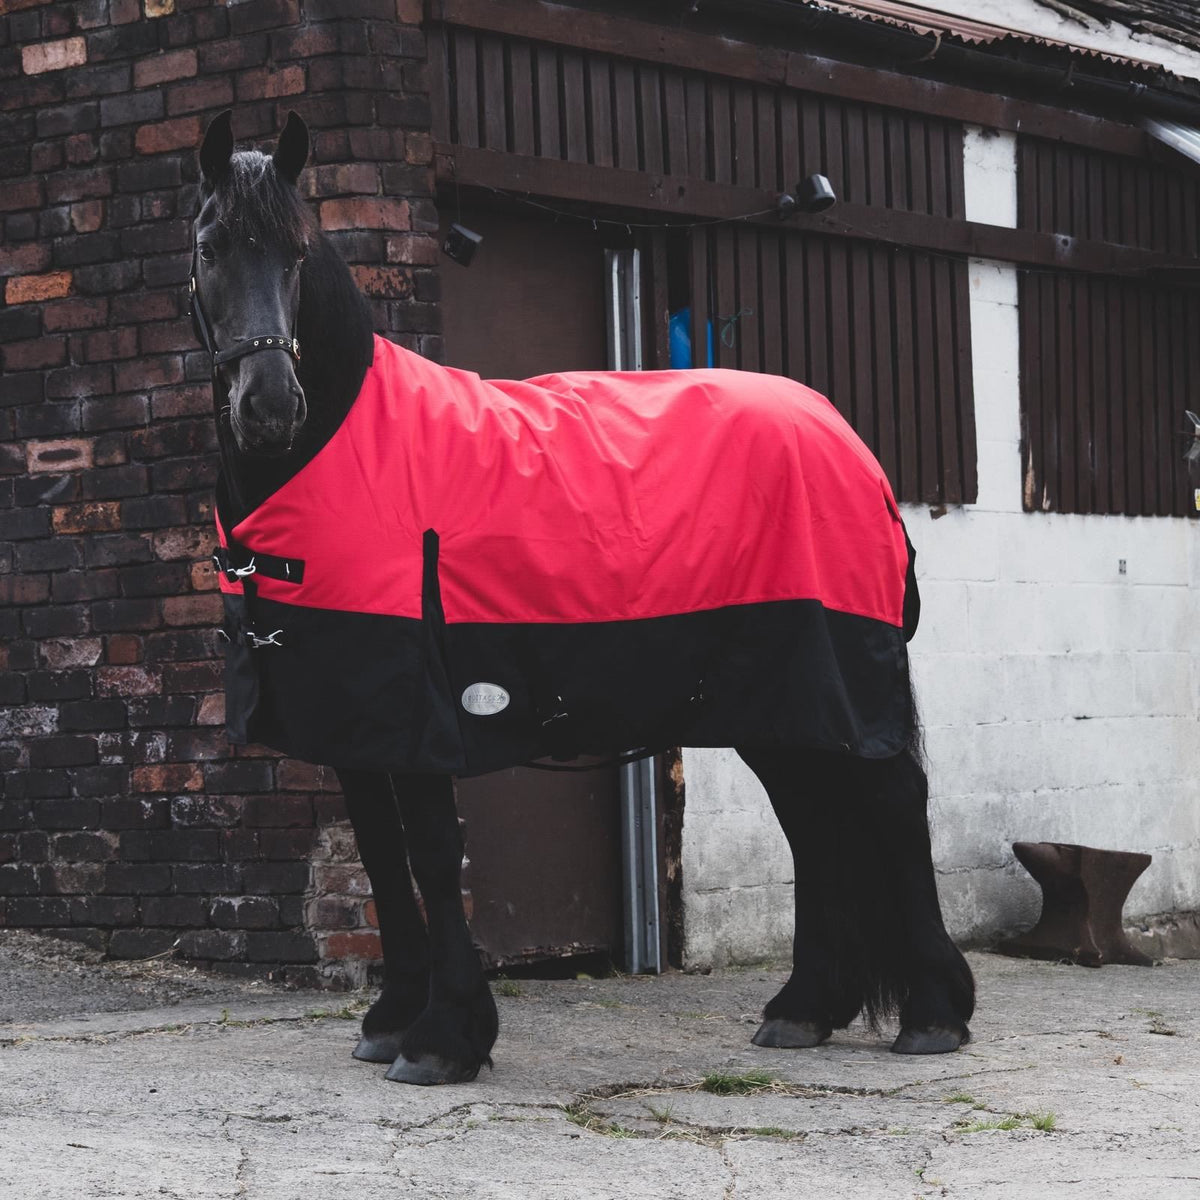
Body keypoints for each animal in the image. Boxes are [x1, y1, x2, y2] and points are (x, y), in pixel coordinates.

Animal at [191, 110, 975, 1086]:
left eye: (298, 253)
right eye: (211, 246)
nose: (269, 408)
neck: (344, 450)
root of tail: (846, 439)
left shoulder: (418, 709)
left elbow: (430, 854)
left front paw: (446, 1038)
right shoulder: (347, 716)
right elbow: (379, 856)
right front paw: (393, 1018)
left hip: (842, 674)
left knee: (896, 804)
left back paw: (935, 1013)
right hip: (776, 695)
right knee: (814, 821)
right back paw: (804, 1008)